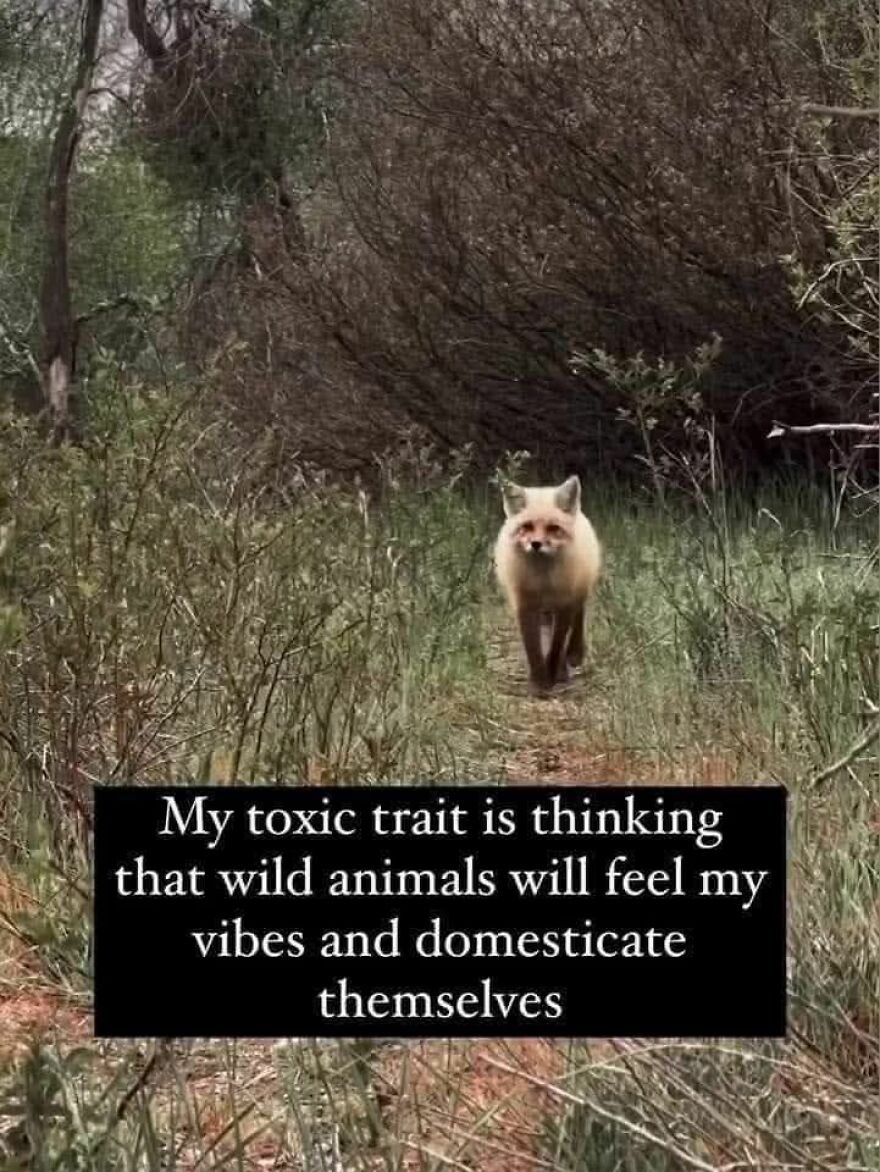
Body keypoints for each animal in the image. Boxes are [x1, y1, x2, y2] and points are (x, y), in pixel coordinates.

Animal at [494, 475, 601, 696]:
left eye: (553, 528)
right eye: (526, 527)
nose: (536, 544)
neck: (543, 580)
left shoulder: (564, 604)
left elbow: (556, 645)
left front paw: (550, 675)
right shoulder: (525, 605)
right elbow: (533, 647)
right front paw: (538, 680)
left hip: (577, 593)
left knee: (577, 620)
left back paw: (571, 657)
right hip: (545, 612)